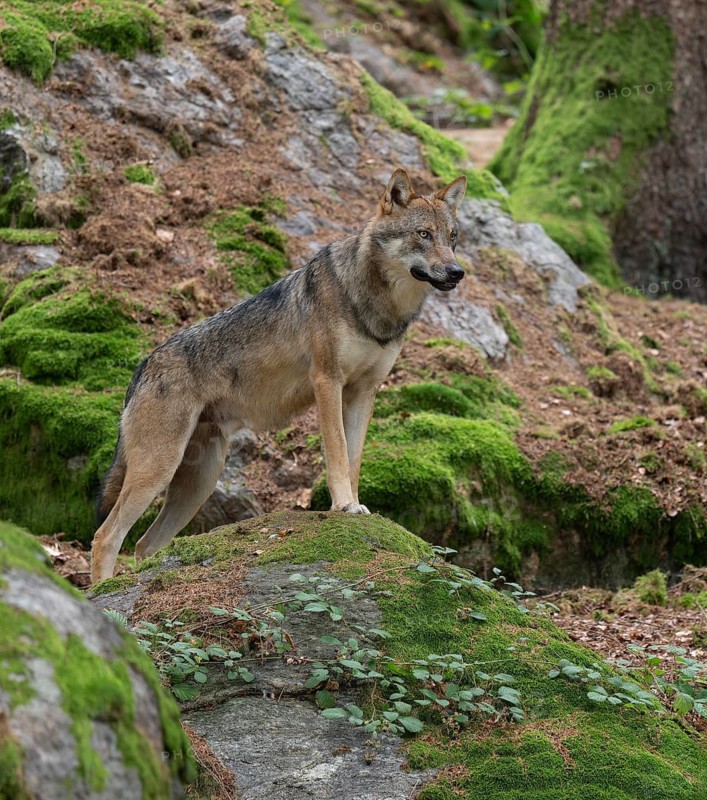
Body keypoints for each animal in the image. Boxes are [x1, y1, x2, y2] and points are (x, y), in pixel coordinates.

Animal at [90, 168, 467, 582]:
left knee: (144, 545)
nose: (457, 272)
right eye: (423, 234)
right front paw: (344, 506)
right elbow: (337, 453)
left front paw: (356, 506)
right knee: (106, 537)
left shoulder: (365, 392)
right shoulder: (327, 382)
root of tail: (143, 364)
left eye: (452, 236)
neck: (375, 304)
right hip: (159, 469)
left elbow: (354, 460)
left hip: (199, 482)